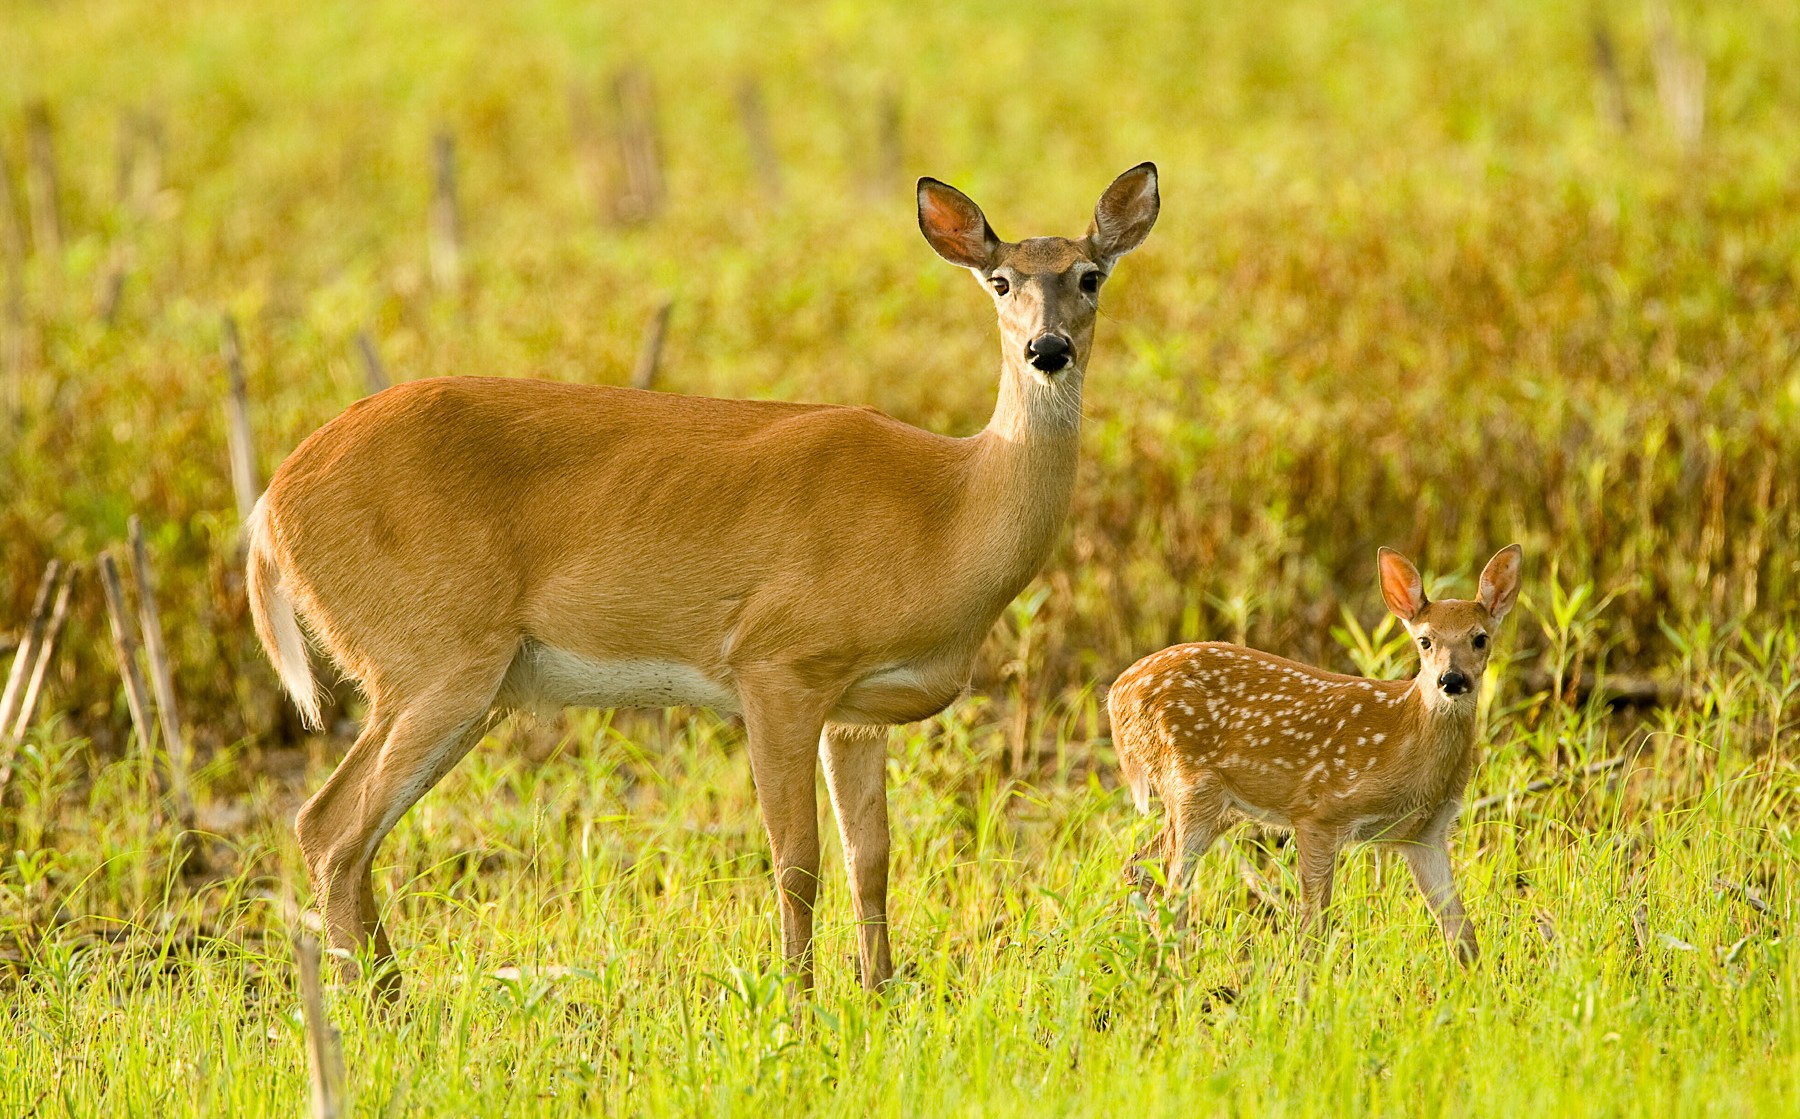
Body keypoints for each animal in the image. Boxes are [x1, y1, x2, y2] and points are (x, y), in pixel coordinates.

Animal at [246, 163, 1160, 996]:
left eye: (1090, 275)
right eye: (1001, 280)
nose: (1048, 349)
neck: (949, 510)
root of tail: (270, 507)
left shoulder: (857, 709)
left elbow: (870, 857)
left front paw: (879, 992)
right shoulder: (778, 661)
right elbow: (797, 859)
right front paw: (798, 1003)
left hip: (463, 680)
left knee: (346, 835)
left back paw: (391, 999)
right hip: (433, 653)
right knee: (328, 826)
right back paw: (382, 1011)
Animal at [1107, 544, 1522, 965]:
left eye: (1480, 638)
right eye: (1425, 640)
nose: (1451, 680)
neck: (1404, 740)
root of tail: (1116, 692)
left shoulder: (1426, 833)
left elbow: (1462, 932)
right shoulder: (1319, 813)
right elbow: (1313, 930)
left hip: (1216, 805)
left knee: (1140, 868)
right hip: (1190, 785)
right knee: (1170, 893)